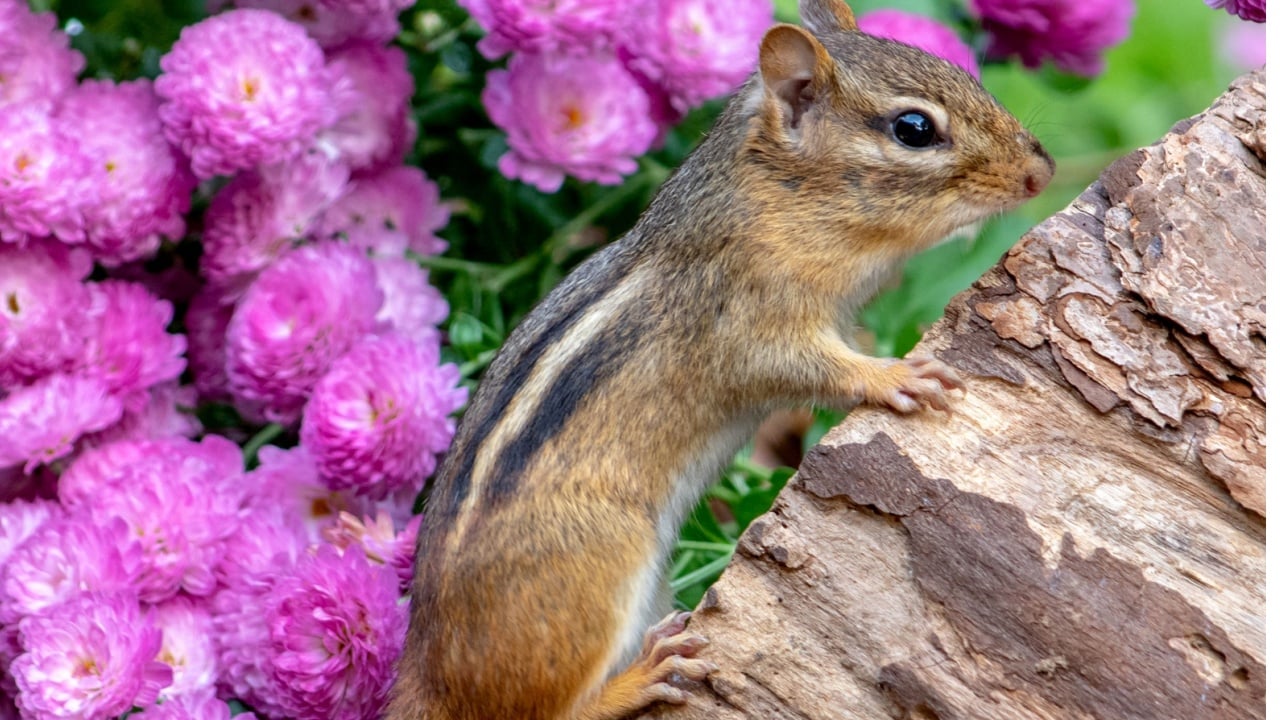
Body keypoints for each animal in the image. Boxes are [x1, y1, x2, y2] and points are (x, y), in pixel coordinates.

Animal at [388, 0, 1054, 718]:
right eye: (914, 129)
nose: (1041, 171)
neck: (780, 196)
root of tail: (423, 668)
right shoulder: (747, 318)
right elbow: (804, 365)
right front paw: (894, 376)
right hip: (601, 563)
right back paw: (640, 677)